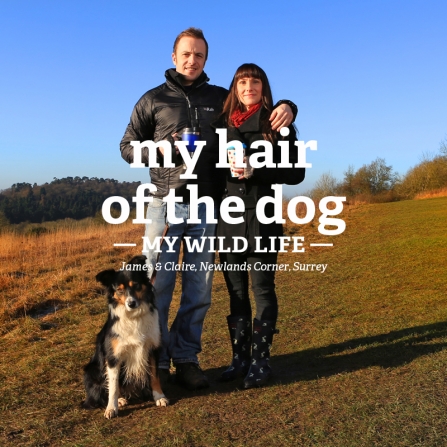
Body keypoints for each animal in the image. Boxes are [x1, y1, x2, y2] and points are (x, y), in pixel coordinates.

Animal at [82, 256, 168, 420]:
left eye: (136, 285)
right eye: (120, 290)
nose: (131, 303)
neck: (134, 317)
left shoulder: (152, 349)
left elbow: (154, 376)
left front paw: (159, 397)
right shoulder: (113, 357)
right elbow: (114, 386)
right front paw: (112, 408)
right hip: (91, 370)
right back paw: (120, 400)